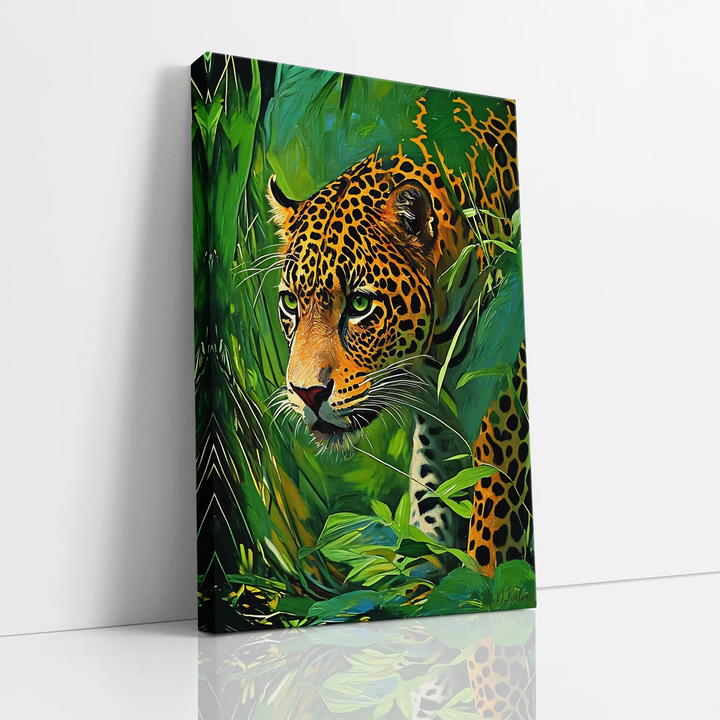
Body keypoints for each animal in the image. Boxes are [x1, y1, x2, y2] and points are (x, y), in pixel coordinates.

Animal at [267, 96, 532, 578]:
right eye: (292, 302)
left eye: (359, 304)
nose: (306, 393)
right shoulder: (436, 431)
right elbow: (431, 514)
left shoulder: (505, 425)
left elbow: (490, 554)